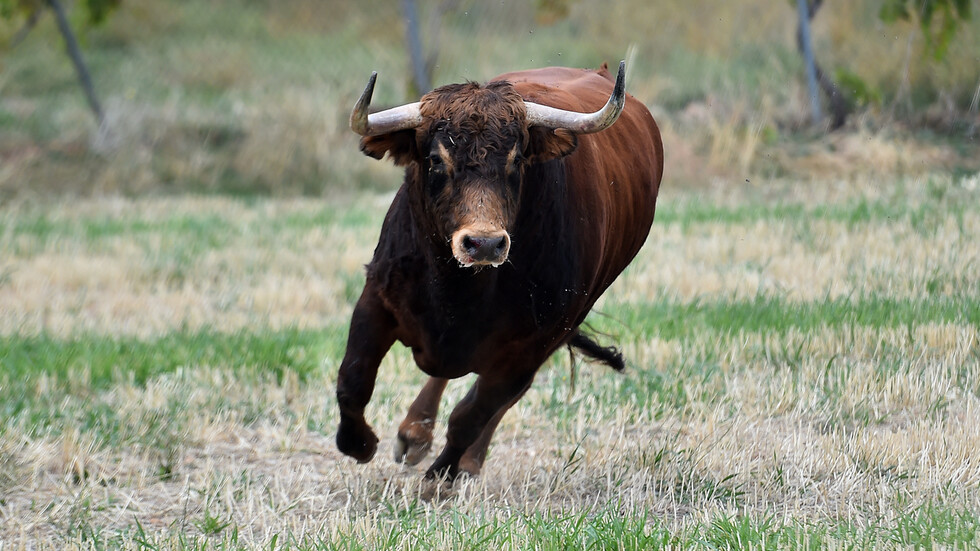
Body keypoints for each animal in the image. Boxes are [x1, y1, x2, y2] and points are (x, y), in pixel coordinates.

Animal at [334, 60, 664, 480]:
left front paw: (440, 478)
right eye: (436, 160)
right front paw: (359, 444)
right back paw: (414, 434)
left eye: (516, 160)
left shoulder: (532, 345)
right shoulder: (377, 298)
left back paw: (465, 458)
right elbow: (353, 380)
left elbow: (472, 415)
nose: (485, 243)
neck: (456, 289)